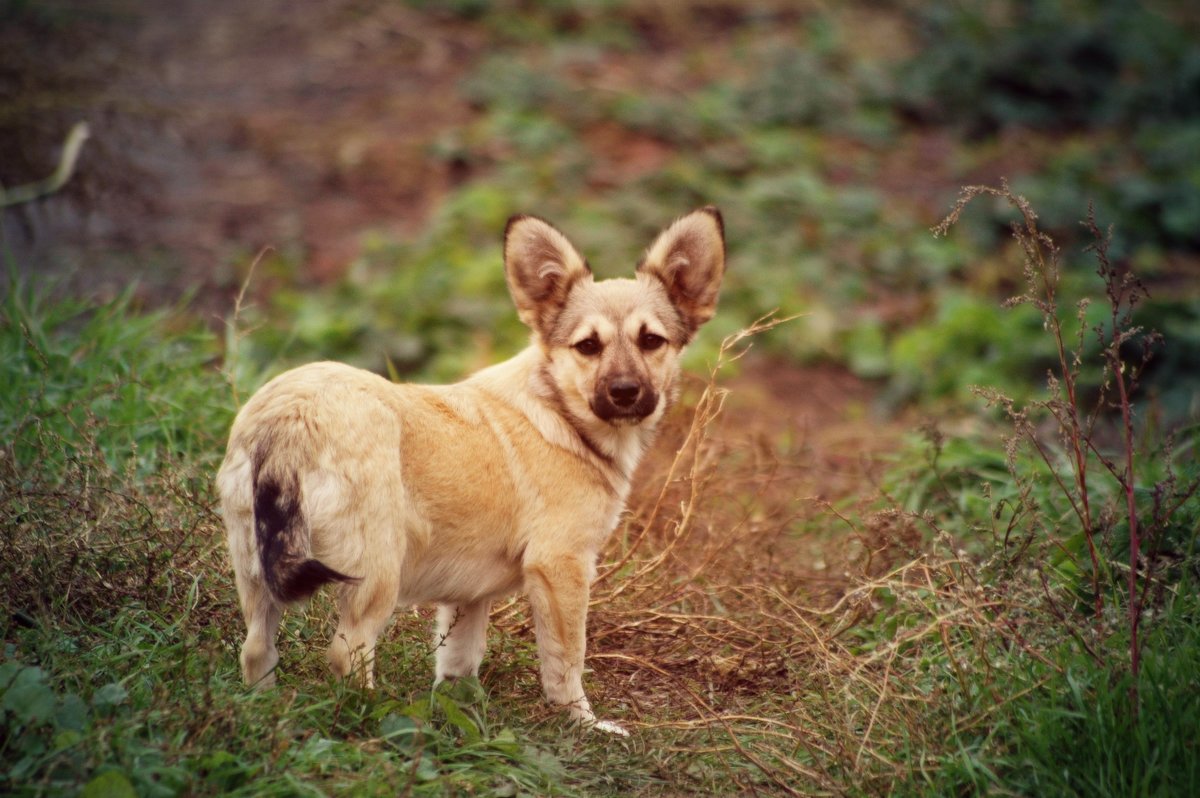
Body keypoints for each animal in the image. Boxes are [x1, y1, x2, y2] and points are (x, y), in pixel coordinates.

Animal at [214, 206, 720, 734]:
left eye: (651, 341)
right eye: (587, 347)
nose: (624, 392)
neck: (559, 412)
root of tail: (291, 416)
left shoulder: (469, 595)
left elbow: (458, 664)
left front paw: (462, 722)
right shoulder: (561, 568)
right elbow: (566, 663)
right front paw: (581, 725)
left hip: (257, 572)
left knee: (256, 650)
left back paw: (266, 717)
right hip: (374, 575)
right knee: (346, 654)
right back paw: (374, 720)